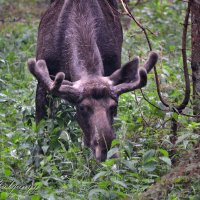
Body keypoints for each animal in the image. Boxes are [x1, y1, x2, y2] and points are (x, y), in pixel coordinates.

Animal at [27, 0, 158, 162]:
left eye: (113, 107)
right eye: (83, 108)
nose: (105, 150)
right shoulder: (43, 81)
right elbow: (41, 130)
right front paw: (38, 162)